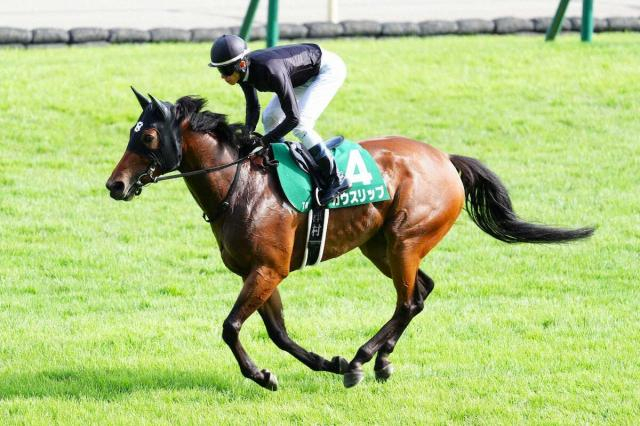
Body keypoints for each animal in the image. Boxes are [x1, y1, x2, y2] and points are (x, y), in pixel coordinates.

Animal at [106, 89, 594, 390]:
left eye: (149, 136)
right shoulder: (259, 272)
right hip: (378, 245)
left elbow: (231, 328)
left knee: (408, 300)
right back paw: (380, 360)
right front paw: (321, 364)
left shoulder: (268, 269)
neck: (238, 185)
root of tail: (445, 159)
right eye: (131, 133)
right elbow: (279, 333)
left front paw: (264, 374)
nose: (115, 185)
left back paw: (363, 360)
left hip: (404, 240)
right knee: (421, 291)